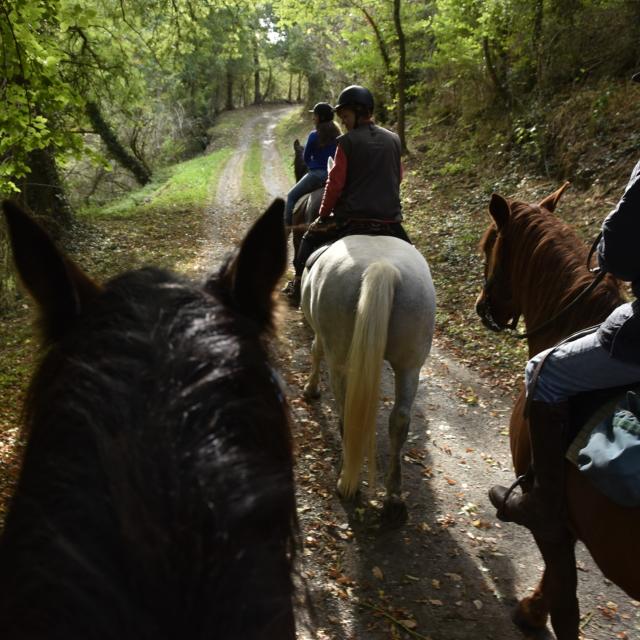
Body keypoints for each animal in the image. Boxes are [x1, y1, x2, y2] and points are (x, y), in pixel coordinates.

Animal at [476, 182, 640, 636]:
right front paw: (534, 609)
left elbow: (565, 596)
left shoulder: (550, 519)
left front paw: (533, 614)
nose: (483, 307)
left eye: (487, 246)